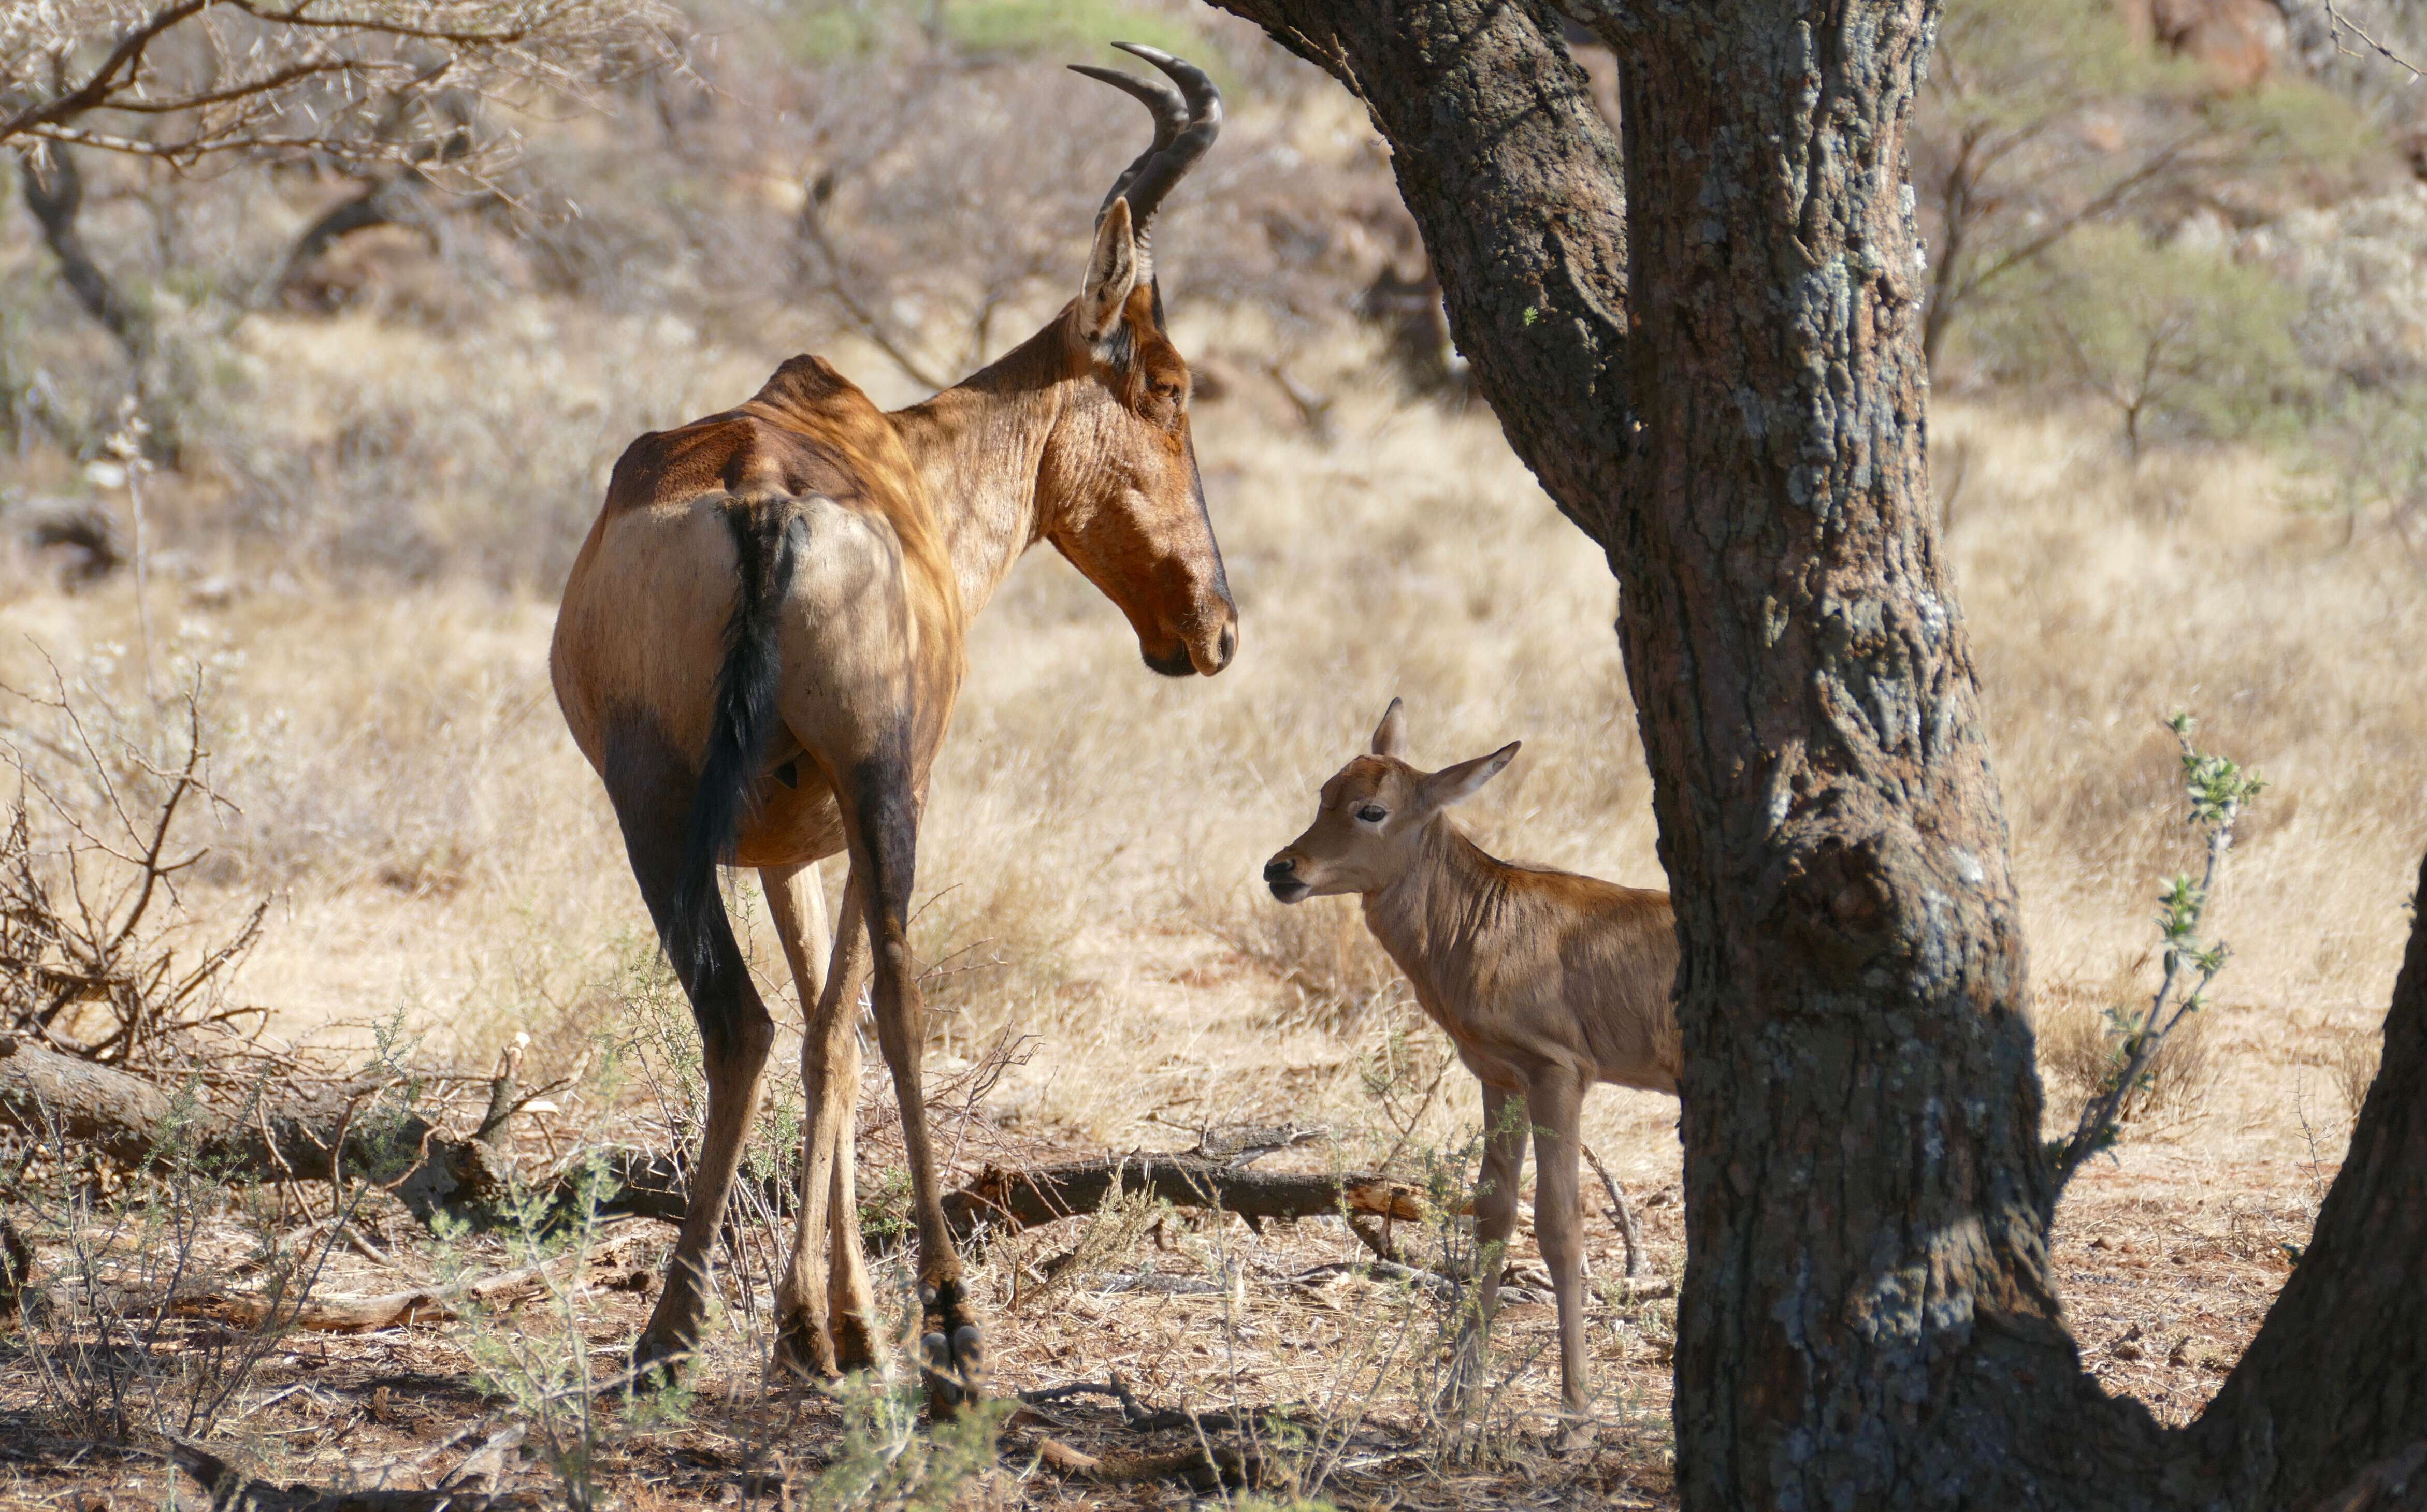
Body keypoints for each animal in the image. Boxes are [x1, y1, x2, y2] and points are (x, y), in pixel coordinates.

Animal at [553, 47, 1233, 1398]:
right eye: (1170, 388)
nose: (1216, 629)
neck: (891, 452)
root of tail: (764, 496)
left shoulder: (786, 849)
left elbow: (826, 1035)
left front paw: (815, 1324)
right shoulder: (875, 807)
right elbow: (857, 1027)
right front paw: (845, 1326)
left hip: (657, 812)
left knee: (746, 1024)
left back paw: (669, 1335)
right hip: (888, 786)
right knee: (896, 1013)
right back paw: (951, 1333)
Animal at [1262, 704, 1679, 1427]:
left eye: (1372, 808)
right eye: (1325, 794)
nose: (1282, 869)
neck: (1487, 912)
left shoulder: (1559, 1074)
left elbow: (1560, 1225)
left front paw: (1574, 1417)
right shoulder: (1500, 1078)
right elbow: (1494, 1216)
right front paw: (1455, 1405)